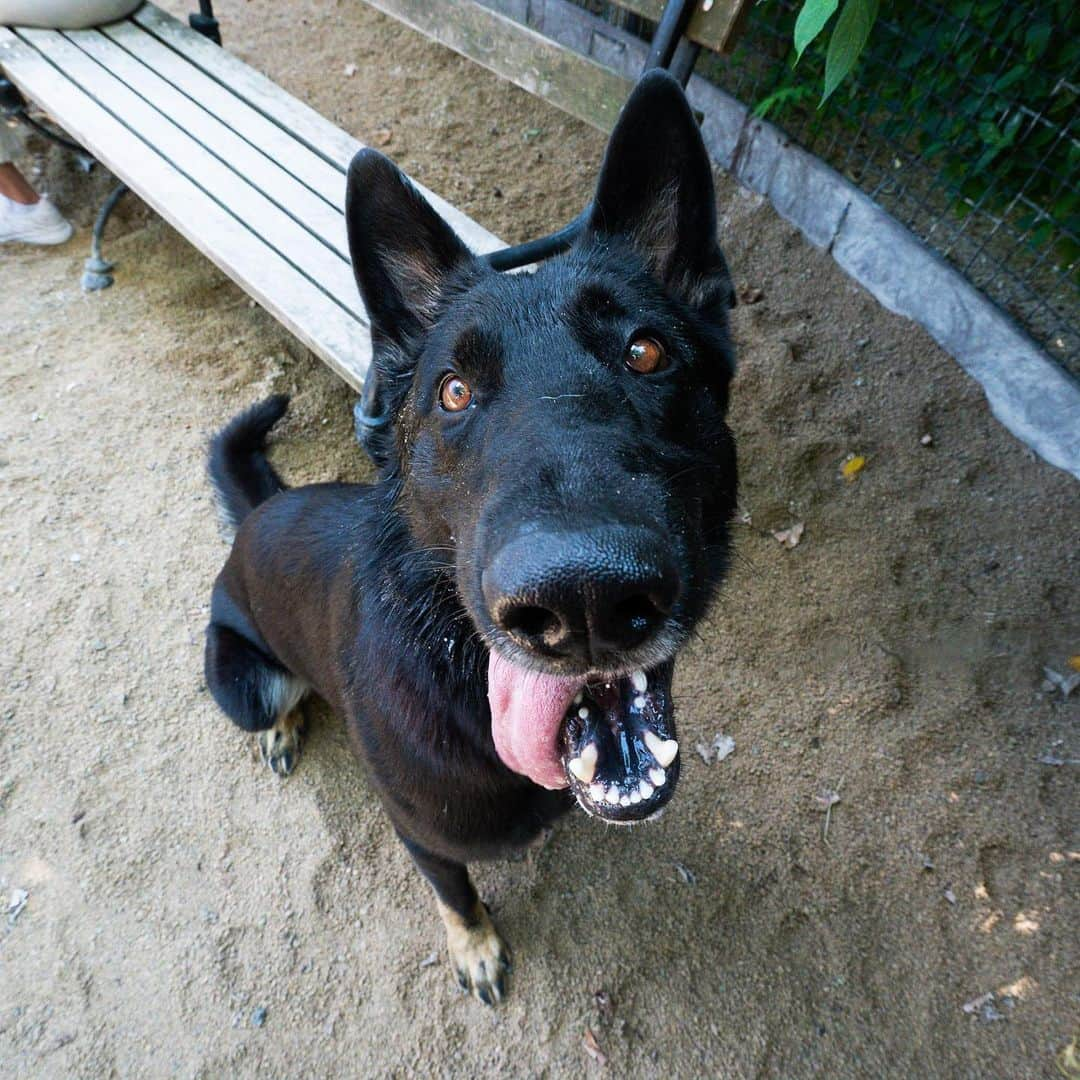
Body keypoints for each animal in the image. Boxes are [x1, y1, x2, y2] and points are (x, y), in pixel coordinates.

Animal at [204, 73, 734, 1002]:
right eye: (452, 391)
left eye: (645, 351)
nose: (583, 599)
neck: (456, 672)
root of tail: (262, 511)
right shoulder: (420, 834)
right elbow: (456, 893)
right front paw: (476, 946)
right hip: (244, 682)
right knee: (273, 700)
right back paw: (282, 728)